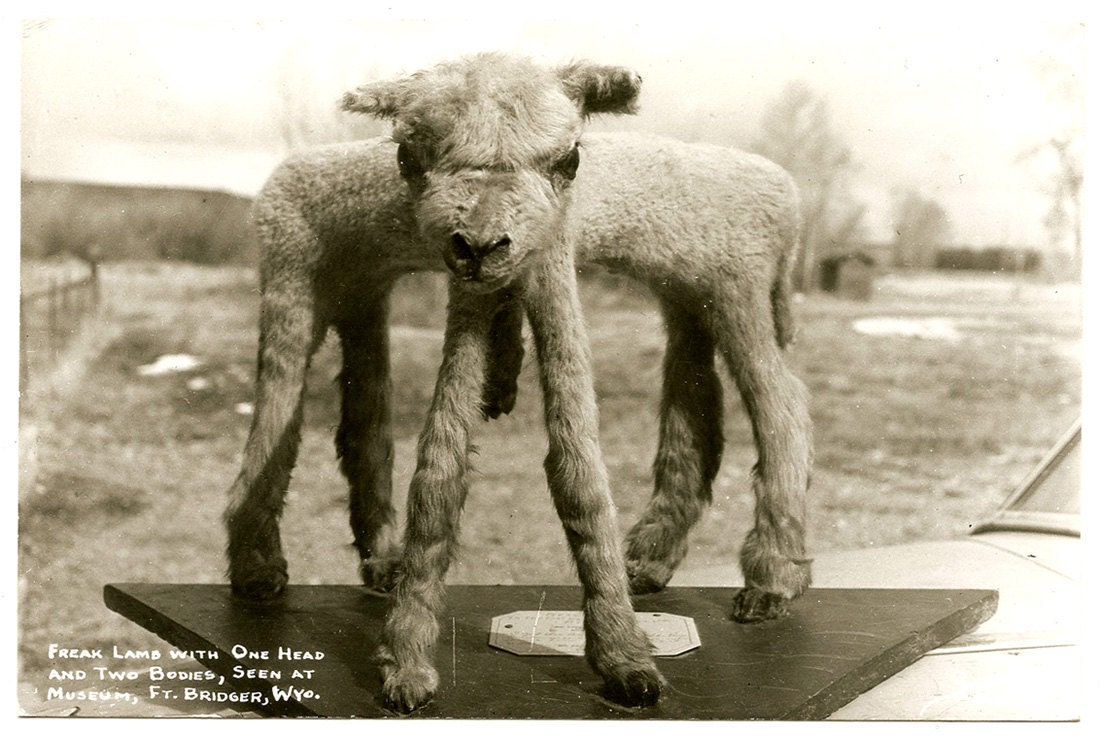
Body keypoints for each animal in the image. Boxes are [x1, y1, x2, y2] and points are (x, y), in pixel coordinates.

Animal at [224, 52, 813, 712]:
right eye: (407, 157)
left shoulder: (548, 262)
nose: (480, 244)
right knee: (329, 425)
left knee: (782, 409)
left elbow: (577, 469)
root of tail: (787, 193)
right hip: (315, 290)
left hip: (736, 287)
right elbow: (439, 467)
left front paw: (624, 660)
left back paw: (771, 577)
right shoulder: (471, 290)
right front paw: (407, 662)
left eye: (570, 160)